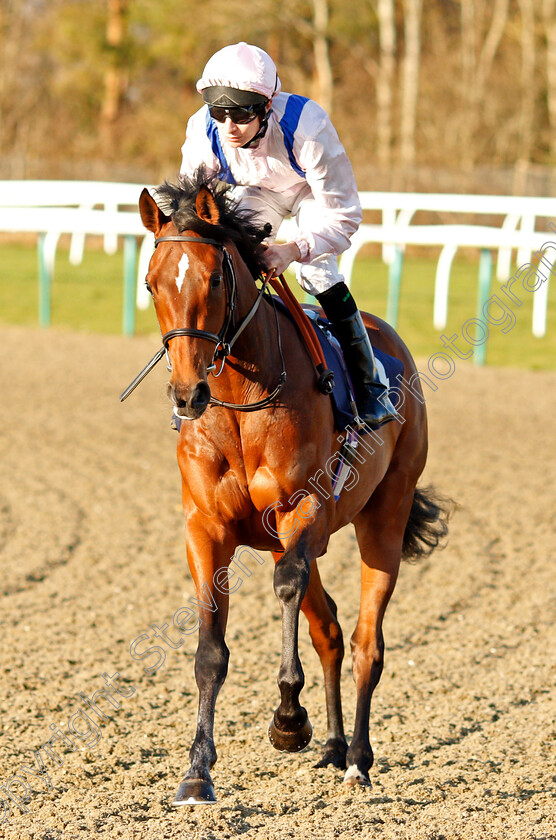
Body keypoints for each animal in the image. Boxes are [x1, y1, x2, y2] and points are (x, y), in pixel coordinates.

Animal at [128, 172, 450, 808]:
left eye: (215, 277)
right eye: (152, 282)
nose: (187, 394)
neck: (238, 403)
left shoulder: (301, 509)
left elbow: (284, 590)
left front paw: (287, 717)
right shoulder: (205, 527)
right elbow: (210, 649)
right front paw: (197, 771)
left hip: (384, 515)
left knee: (366, 641)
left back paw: (358, 759)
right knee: (329, 630)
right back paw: (333, 747)